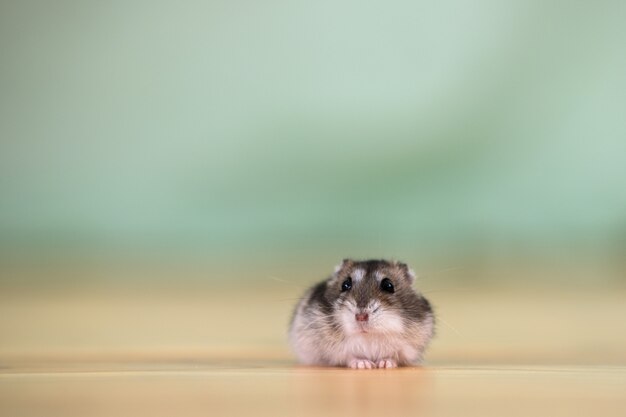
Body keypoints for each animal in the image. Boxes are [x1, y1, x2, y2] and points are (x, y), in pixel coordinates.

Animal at [288, 258, 432, 368]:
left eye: (388, 285)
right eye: (345, 284)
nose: (361, 317)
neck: (369, 336)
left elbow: (392, 356)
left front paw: (385, 364)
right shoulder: (335, 351)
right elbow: (350, 356)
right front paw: (364, 365)